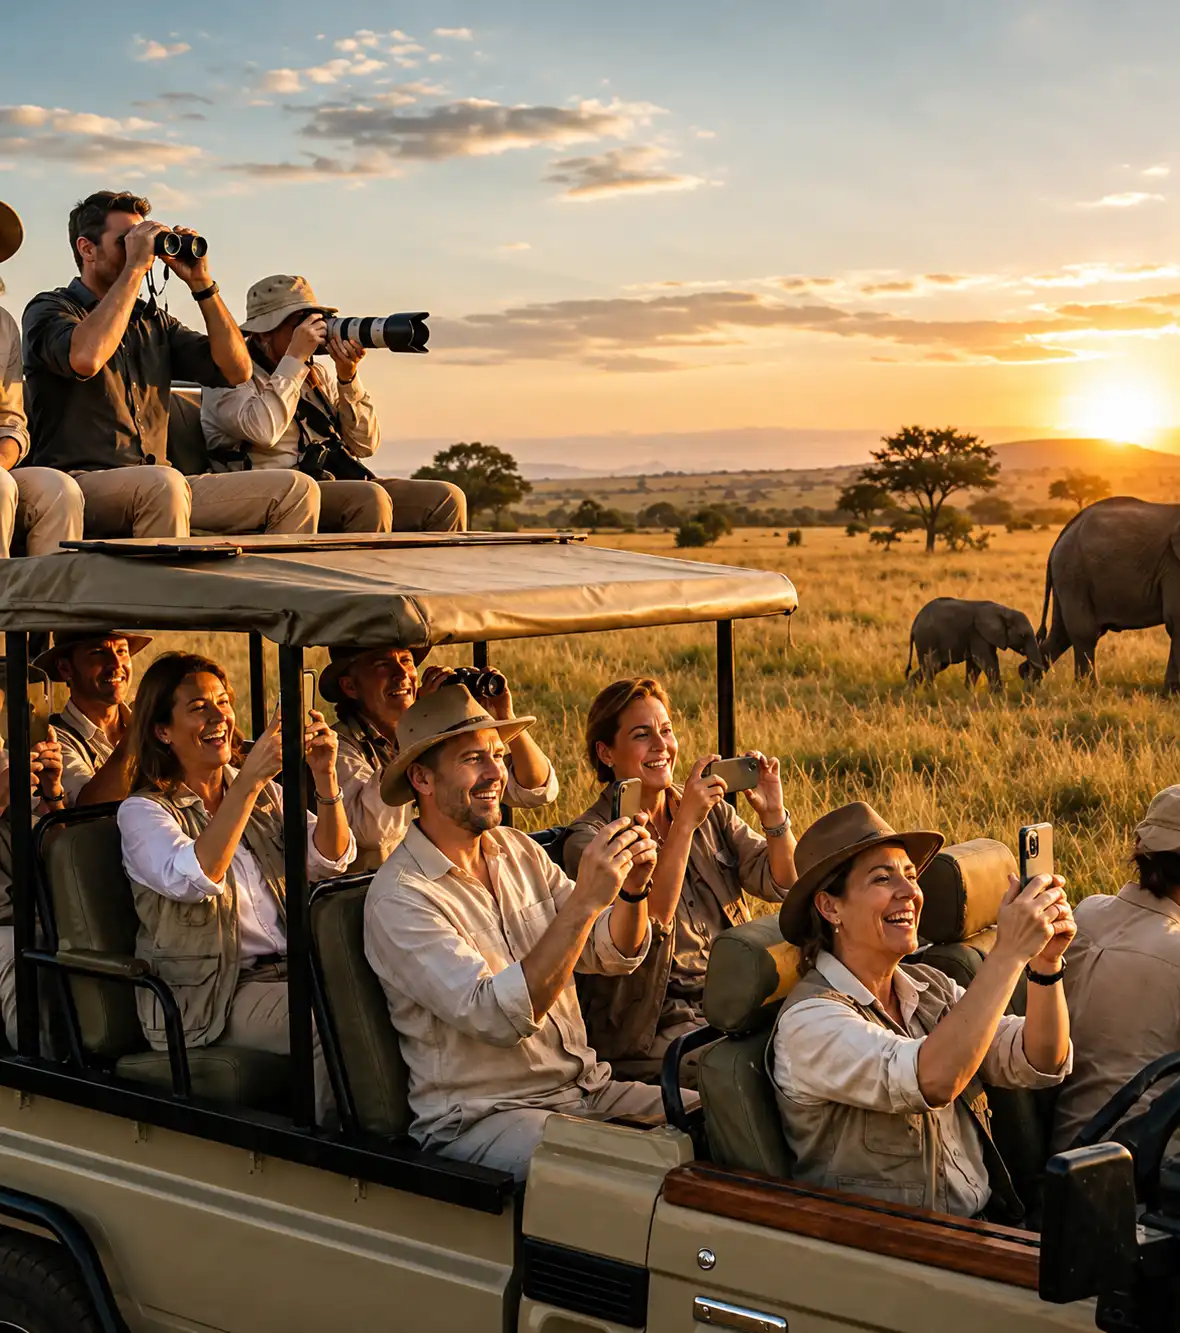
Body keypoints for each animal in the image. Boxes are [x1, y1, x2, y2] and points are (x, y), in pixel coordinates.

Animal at [905, 597, 1045, 690]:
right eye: (1022, 636)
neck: (1005, 612)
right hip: (926, 640)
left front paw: (968, 692)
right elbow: (987, 661)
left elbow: (974, 666)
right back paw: (927, 691)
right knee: (932, 665)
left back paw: (912, 691)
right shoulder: (977, 633)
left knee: (932, 666)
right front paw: (998, 694)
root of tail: (914, 624)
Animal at [1026, 496, 1180, 692]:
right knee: (1084, 632)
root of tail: (1061, 536)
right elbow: (1176, 619)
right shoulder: (1173, 565)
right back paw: (1090, 690)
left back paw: (1030, 685)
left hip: (1067, 576)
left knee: (1061, 634)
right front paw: (1173, 693)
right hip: (1074, 574)